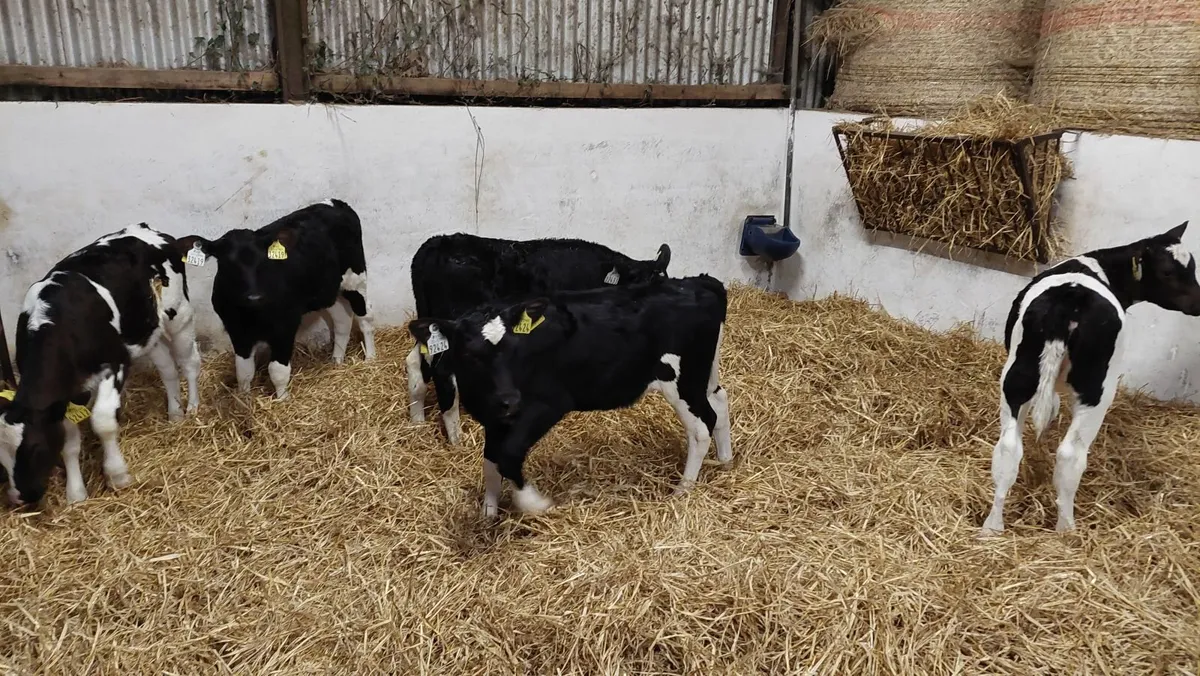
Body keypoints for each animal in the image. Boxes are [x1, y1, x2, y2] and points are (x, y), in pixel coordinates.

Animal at [0, 223, 202, 507]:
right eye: (1, 458)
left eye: (35, 448)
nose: (19, 497)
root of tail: (151, 230)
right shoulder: (66, 394)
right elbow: (69, 443)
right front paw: (75, 493)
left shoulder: (115, 362)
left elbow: (103, 420)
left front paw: (117, 475)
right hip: (146, 331)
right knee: (167, 369)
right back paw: (175, 414)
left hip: (179, 316)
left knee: (188, 362)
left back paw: (193, 408)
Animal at [178, 199, 376, 400]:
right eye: (228, 263)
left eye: (264, 261)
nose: (255, 296)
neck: (250, 314)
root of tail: (336, 203)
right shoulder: (236, 330)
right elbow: (243, 370)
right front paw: (244, 398)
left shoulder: (285, 325)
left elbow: (277, 370)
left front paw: (282, 400)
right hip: (327, 289)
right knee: (342, 319)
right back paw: (337, 360)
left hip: (356, 277)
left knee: (365, 316)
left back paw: (370, 358)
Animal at [407, 233, 672, 446]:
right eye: (641, 284)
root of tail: (438, 243)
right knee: (443, 373)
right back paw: (457, 439)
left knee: (414, 362)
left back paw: (417, 421)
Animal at [407, 274, 731, 517]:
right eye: (469, 354)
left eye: (515, 349)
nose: (509, 399)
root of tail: (699, 283)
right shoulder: (495, 419)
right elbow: (490, 462)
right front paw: (488, 514)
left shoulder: (547, 404)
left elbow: (508, 455)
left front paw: (534, 503)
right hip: (703, 375)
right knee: (719, 401)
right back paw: (725, 459)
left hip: (682, 381)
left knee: (702, 426)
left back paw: (682, 491)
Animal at [980, 222, 1200, 536]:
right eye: (1168, 272)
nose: (1199, 304)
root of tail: (1070, 301)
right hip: (1097, 390)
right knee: (1070, 455)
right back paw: (1066, 529)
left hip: (1017, 377)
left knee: (1009, 447)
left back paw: (992, 527)